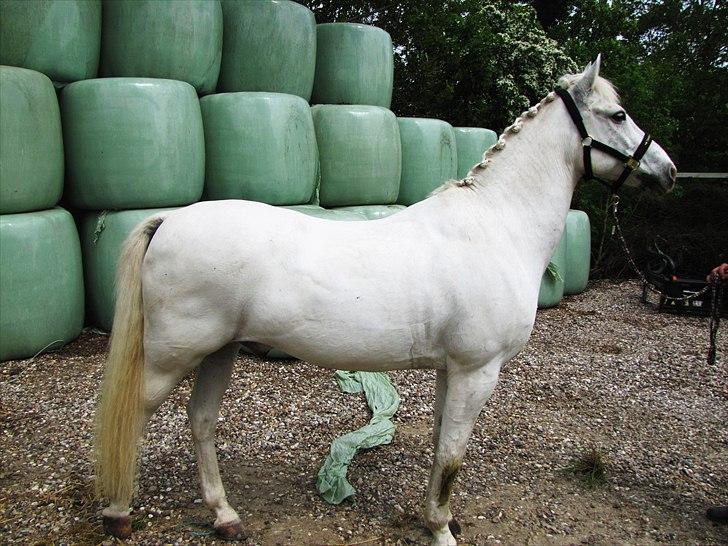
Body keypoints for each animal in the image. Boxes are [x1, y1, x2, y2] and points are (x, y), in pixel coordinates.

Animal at [95, 56, 676, 546]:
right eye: (618, 114)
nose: (668, 171)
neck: (495, 226)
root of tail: (170, 220)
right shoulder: (478, 370)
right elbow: (453, 455)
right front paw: (440, 529)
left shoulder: (452, 370)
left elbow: (440, 444)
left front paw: (436, 519)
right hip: (172, 356)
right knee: (134, 416)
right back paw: (119, 512)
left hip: (221, 350)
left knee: (201, 421)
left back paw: (225, 516)